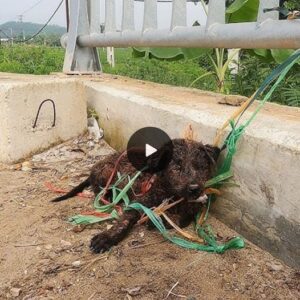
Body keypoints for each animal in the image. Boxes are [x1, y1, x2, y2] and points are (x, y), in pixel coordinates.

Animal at [52, 139, 219, 253]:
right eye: (177, 167)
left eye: (201, 167)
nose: (194, 188)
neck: (171, 193)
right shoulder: (137, 204)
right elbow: (124, 221)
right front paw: (107, 237)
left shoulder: (193, 208)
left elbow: (182, 218)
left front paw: (160, 219)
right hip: (108, 172)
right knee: (98, 189)